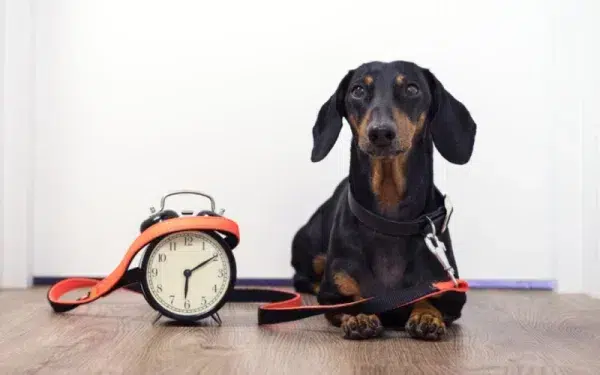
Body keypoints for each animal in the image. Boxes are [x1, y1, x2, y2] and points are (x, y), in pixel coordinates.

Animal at [290, 60, 478, 342]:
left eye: (412, 88)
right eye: (357, 90)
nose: (380, 133)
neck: (389, 219)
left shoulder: (452, 294)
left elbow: (428, 299)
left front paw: (426, 316)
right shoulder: (333, 295)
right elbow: (349, 301)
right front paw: (359, 315)